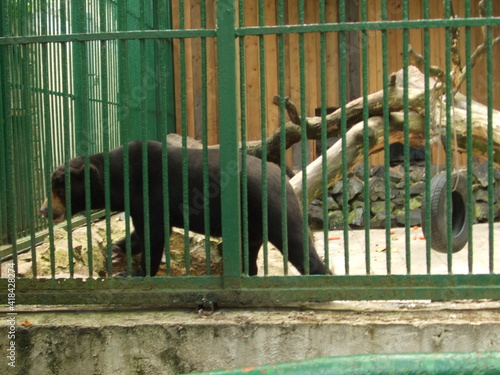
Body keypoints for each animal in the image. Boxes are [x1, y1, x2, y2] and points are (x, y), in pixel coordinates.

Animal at [38, 140, 328, 276]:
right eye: (52, 187)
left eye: (59, 189)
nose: (43, 210)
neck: (120, 180)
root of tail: (285, 179)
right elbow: (140, 234)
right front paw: (116, 249)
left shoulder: (151, 195)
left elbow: (154, 235)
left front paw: (132, 272)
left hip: (272, 207)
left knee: (297, 243)